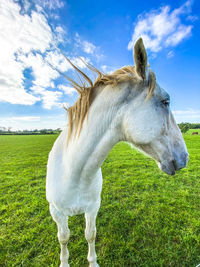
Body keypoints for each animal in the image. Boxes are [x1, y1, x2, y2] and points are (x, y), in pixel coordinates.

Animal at [46, 38, 188, 267]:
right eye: (166, 101)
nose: (185, 157)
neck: (73, 172)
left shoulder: (93, 208)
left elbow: (90, 234)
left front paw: (93, 262)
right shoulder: (56, 211)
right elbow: (64, 238)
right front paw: (64, 262)